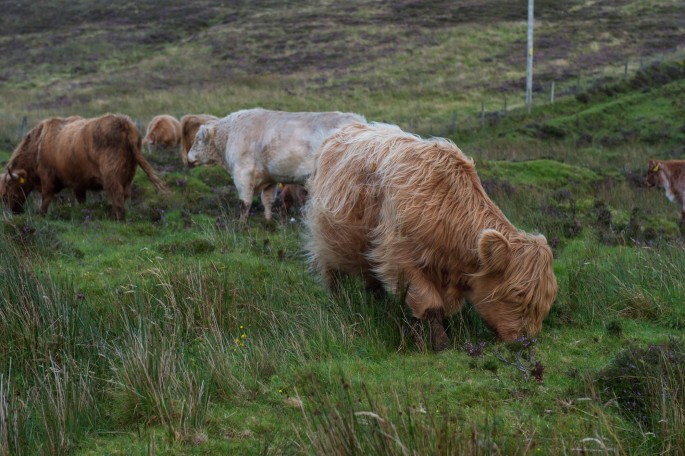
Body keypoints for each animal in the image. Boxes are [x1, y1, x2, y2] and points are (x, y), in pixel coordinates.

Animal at [0, 114, 170, 221]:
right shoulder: (78, 182)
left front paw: (40, 215)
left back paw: (117, 220)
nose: (12, 212)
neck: (37, 148)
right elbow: (81, 200)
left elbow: (46, 199)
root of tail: (124, 124)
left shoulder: (47, 177)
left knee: (117, 197)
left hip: (111, 175)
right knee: (125, 196)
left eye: (7, 191)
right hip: (129, 174)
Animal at [184, 108, 360, 220]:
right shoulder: (270, 178)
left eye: (198, 139)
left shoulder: (243, 173)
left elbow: (245, 203)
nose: (188, 157)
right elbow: (267, 201)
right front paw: (268, 221)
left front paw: (241, 224)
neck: (230, 134)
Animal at [304, 123, 556, 350]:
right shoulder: (400, 260)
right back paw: (339, 302)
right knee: (333, 276)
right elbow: (430, 305)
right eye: (516, 296)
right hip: (327, 243)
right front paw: (439, 343)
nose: (527, 341)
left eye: (546, 301)